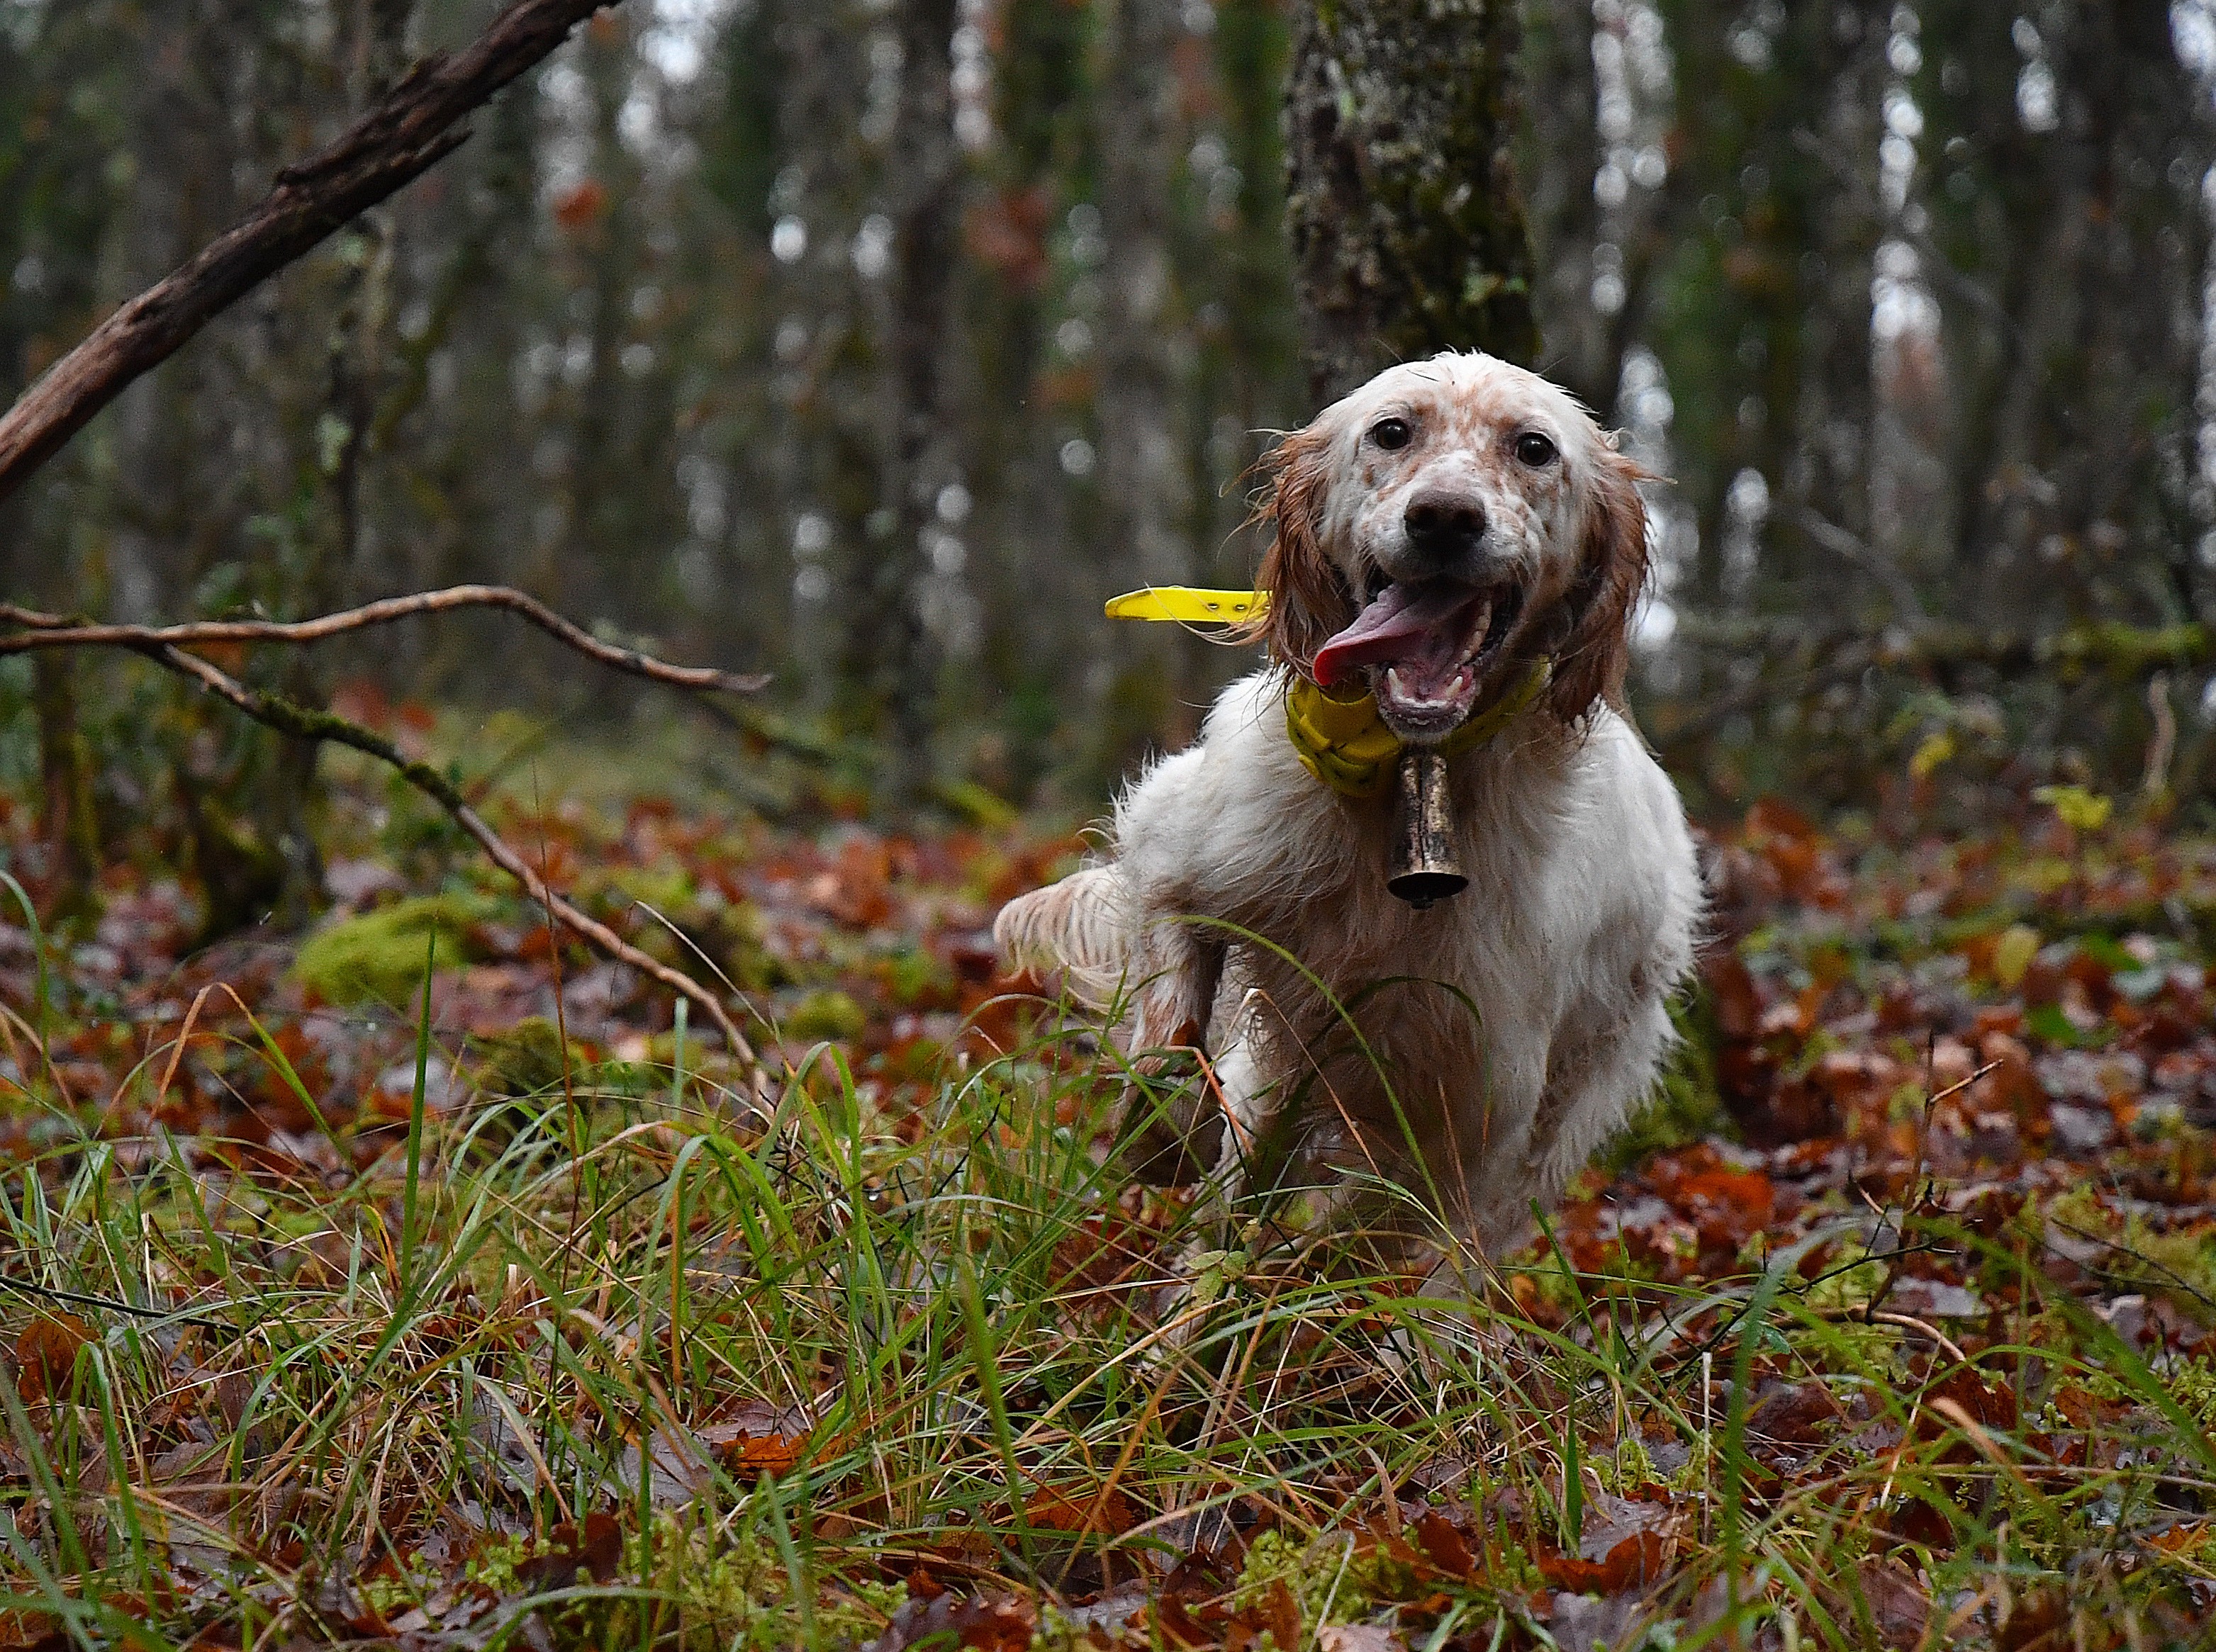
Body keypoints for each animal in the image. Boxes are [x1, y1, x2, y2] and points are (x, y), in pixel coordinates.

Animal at [997, 354, 1701, 1257]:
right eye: (1392, 431)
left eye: (1535, 448)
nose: (1445, 518)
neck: (1401, 769)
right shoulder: (1175, 851)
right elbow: (1171, 1041)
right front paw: (1161, 1141)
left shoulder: (1479, 1118)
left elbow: (1367, 1231)